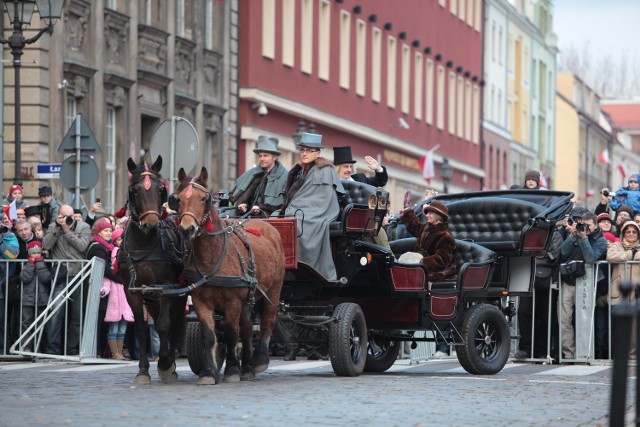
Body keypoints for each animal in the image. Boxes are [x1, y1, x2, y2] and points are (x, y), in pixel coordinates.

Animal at [117, 156, 185, 384]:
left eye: (160, 189)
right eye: (135, 190)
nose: (151, 224)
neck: (145, 245)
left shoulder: (166, 287)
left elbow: (164, 325)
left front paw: (165, 363)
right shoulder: (133, 292)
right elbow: (140, 328)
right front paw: (143, 371)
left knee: (175, 323)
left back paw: (170, 363)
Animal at [175, 166, 284, 384]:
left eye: (203, 198)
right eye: (179, 198)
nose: (186, 229)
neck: (213, 256)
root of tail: (267, 225)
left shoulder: (232, 302)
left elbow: (232, 334)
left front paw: (232, 370)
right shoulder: (200, 301)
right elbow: (209, 336)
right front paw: (209, 372)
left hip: (274, 290)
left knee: (267, 321)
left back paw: (259, 360)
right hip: (247, 298)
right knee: (248, 328)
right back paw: (247, 367)